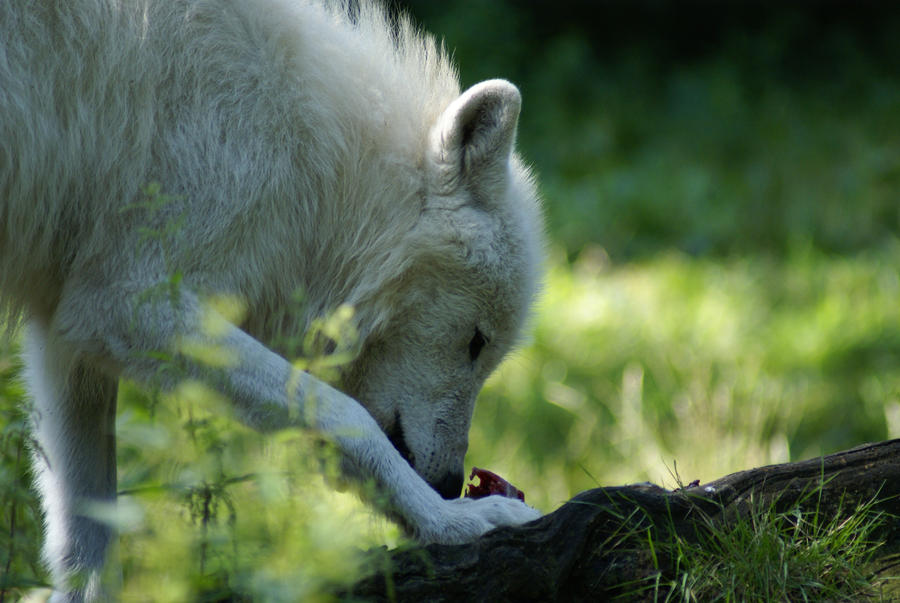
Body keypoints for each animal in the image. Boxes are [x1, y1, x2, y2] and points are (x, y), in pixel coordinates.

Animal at [0, 0, 543, 598]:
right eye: (475, 343)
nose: (449, 482)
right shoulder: (130, 304)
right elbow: (342, 415)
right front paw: (453, 522)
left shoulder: (67, 326)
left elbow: (88, 545)